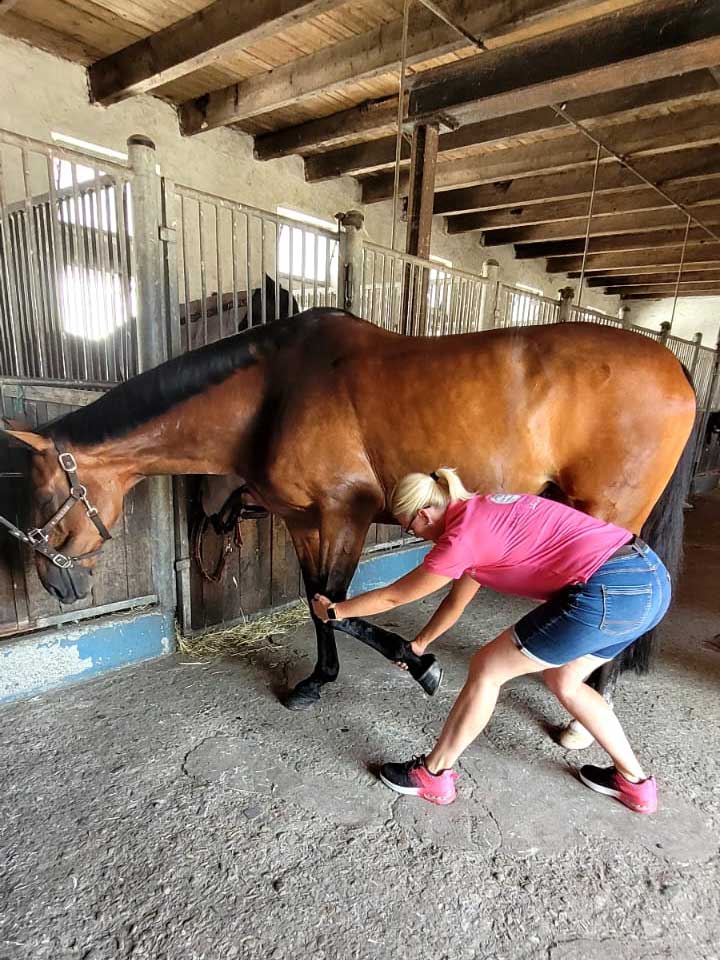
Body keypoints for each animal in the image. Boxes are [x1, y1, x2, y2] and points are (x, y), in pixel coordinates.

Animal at [2, 312, 696, 738]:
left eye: (44, 494)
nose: (55, 584)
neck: (273, 392)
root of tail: (674, 368)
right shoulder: (304, 521)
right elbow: (318, 604)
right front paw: (318, 681)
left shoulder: (346, 513)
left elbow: (337, 603)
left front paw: (418, 664)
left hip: (611, 517)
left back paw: (583, 713)